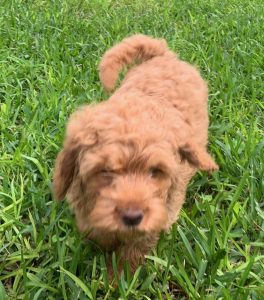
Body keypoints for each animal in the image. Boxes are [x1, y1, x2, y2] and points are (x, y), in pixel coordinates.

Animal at [52, 34, 218, 272]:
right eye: (105, 171)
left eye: (155, 172)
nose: (132, 217)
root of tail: (165, 55)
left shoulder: (154, 219)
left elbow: (132, 253)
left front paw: (116, 276)